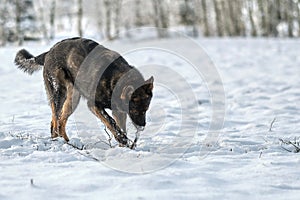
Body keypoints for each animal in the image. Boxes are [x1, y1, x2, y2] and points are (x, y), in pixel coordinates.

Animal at [14, 37, 154, 148]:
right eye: (135, 110)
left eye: (146, 110)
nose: (142, 126)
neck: (116, 79)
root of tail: (49, 51)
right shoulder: (94, 106)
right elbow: (111, 123)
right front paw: (123, 140)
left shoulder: (118, 112)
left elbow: (119, 127)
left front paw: (123, 146)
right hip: (59, 93)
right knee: (55, 121)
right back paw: (59, 142)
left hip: (72, 99)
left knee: (60, 121)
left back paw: (67, 142)